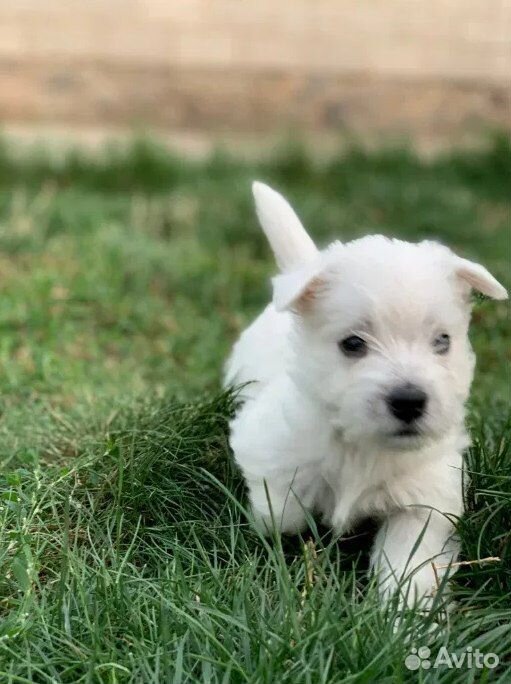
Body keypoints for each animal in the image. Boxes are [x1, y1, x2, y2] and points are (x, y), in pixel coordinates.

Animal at [226, 182, 510, 604]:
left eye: (443, 341)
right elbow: (281, 513)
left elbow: (410, 561)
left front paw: (406, 613)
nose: (409, 401)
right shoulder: (265, 443)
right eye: (353, 344)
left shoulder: (425, 499)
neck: (362, 446)